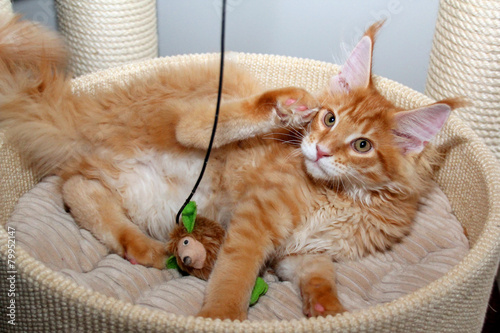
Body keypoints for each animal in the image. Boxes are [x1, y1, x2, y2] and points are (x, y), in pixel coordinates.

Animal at [0, 16, 460, 320]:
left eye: (362, 145)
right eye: (329, 119)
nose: (319, 150)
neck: (347, 198)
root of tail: (93, 114)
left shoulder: (302, 253)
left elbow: (320, 277)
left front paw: (329, 311)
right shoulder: (259, 215)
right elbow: (235, 276)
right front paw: (220, 317)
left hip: (144, 194)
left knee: (79, 188)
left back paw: (143, 248)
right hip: (208, 93)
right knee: (189, 125)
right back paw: (283, 104)